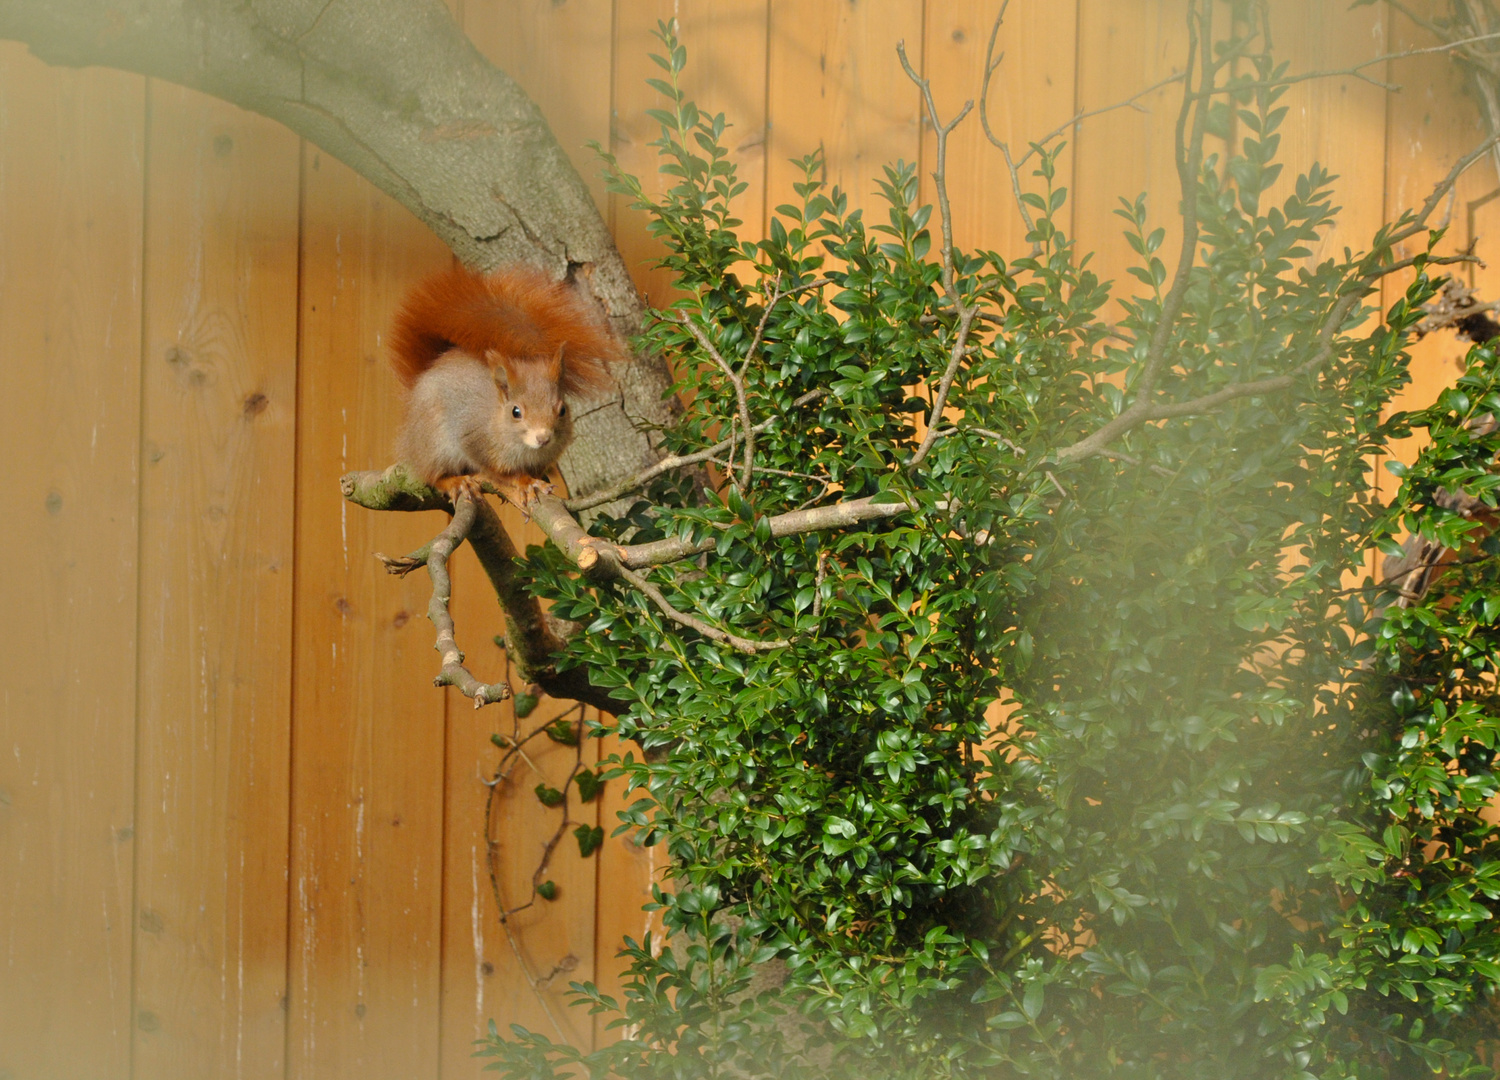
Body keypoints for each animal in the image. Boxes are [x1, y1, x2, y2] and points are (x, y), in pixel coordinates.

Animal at [390, 268, 624, 507]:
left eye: (562, 410)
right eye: (515, 412)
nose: (543, 438)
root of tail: (425, 374)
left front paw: (536, 479)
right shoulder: (475, 442)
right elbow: (502, 473)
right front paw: (524, 481)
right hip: (433, 444)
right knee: (432, 475)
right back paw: (456, 482)